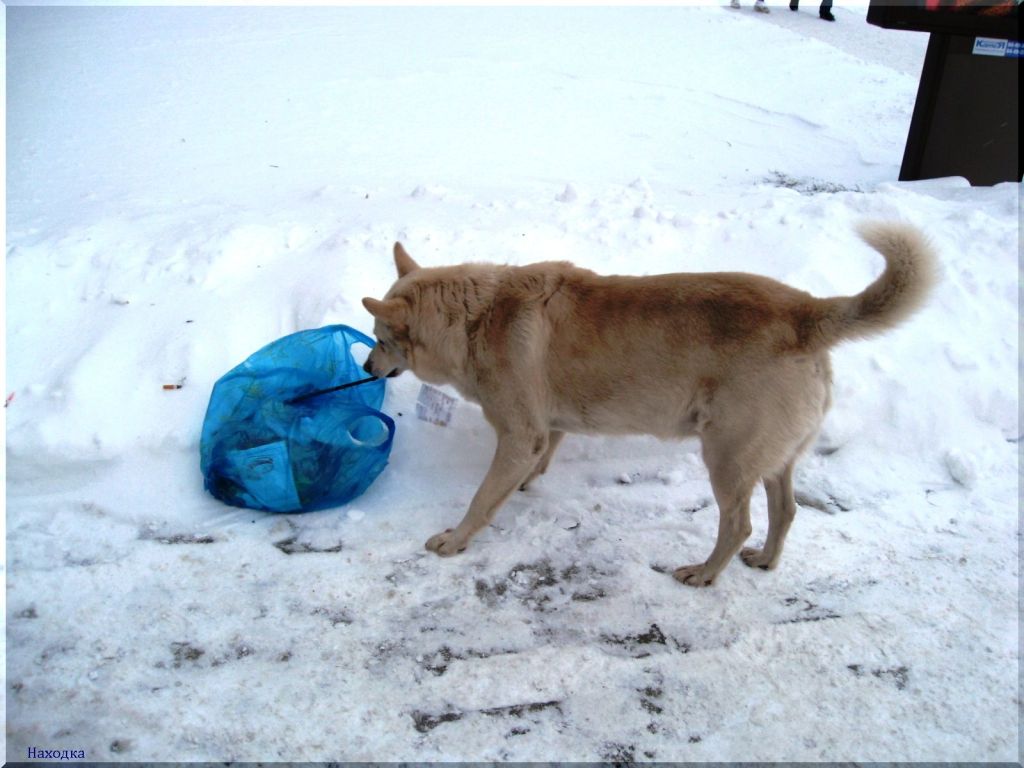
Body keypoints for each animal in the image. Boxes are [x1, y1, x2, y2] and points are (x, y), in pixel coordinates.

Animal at [360, 222, 937, 589]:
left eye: (381, 340)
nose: (365, 366)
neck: (475, 318)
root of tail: (807, 311)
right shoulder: (547, 428)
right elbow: (538, 461)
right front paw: (525, 485)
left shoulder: (520, 433)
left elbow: (482, 500)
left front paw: (457, 539)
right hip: (774, 459)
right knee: (785, 510)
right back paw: (766, 561)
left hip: (725, 458)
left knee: (739, 524)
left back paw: (704, 573)